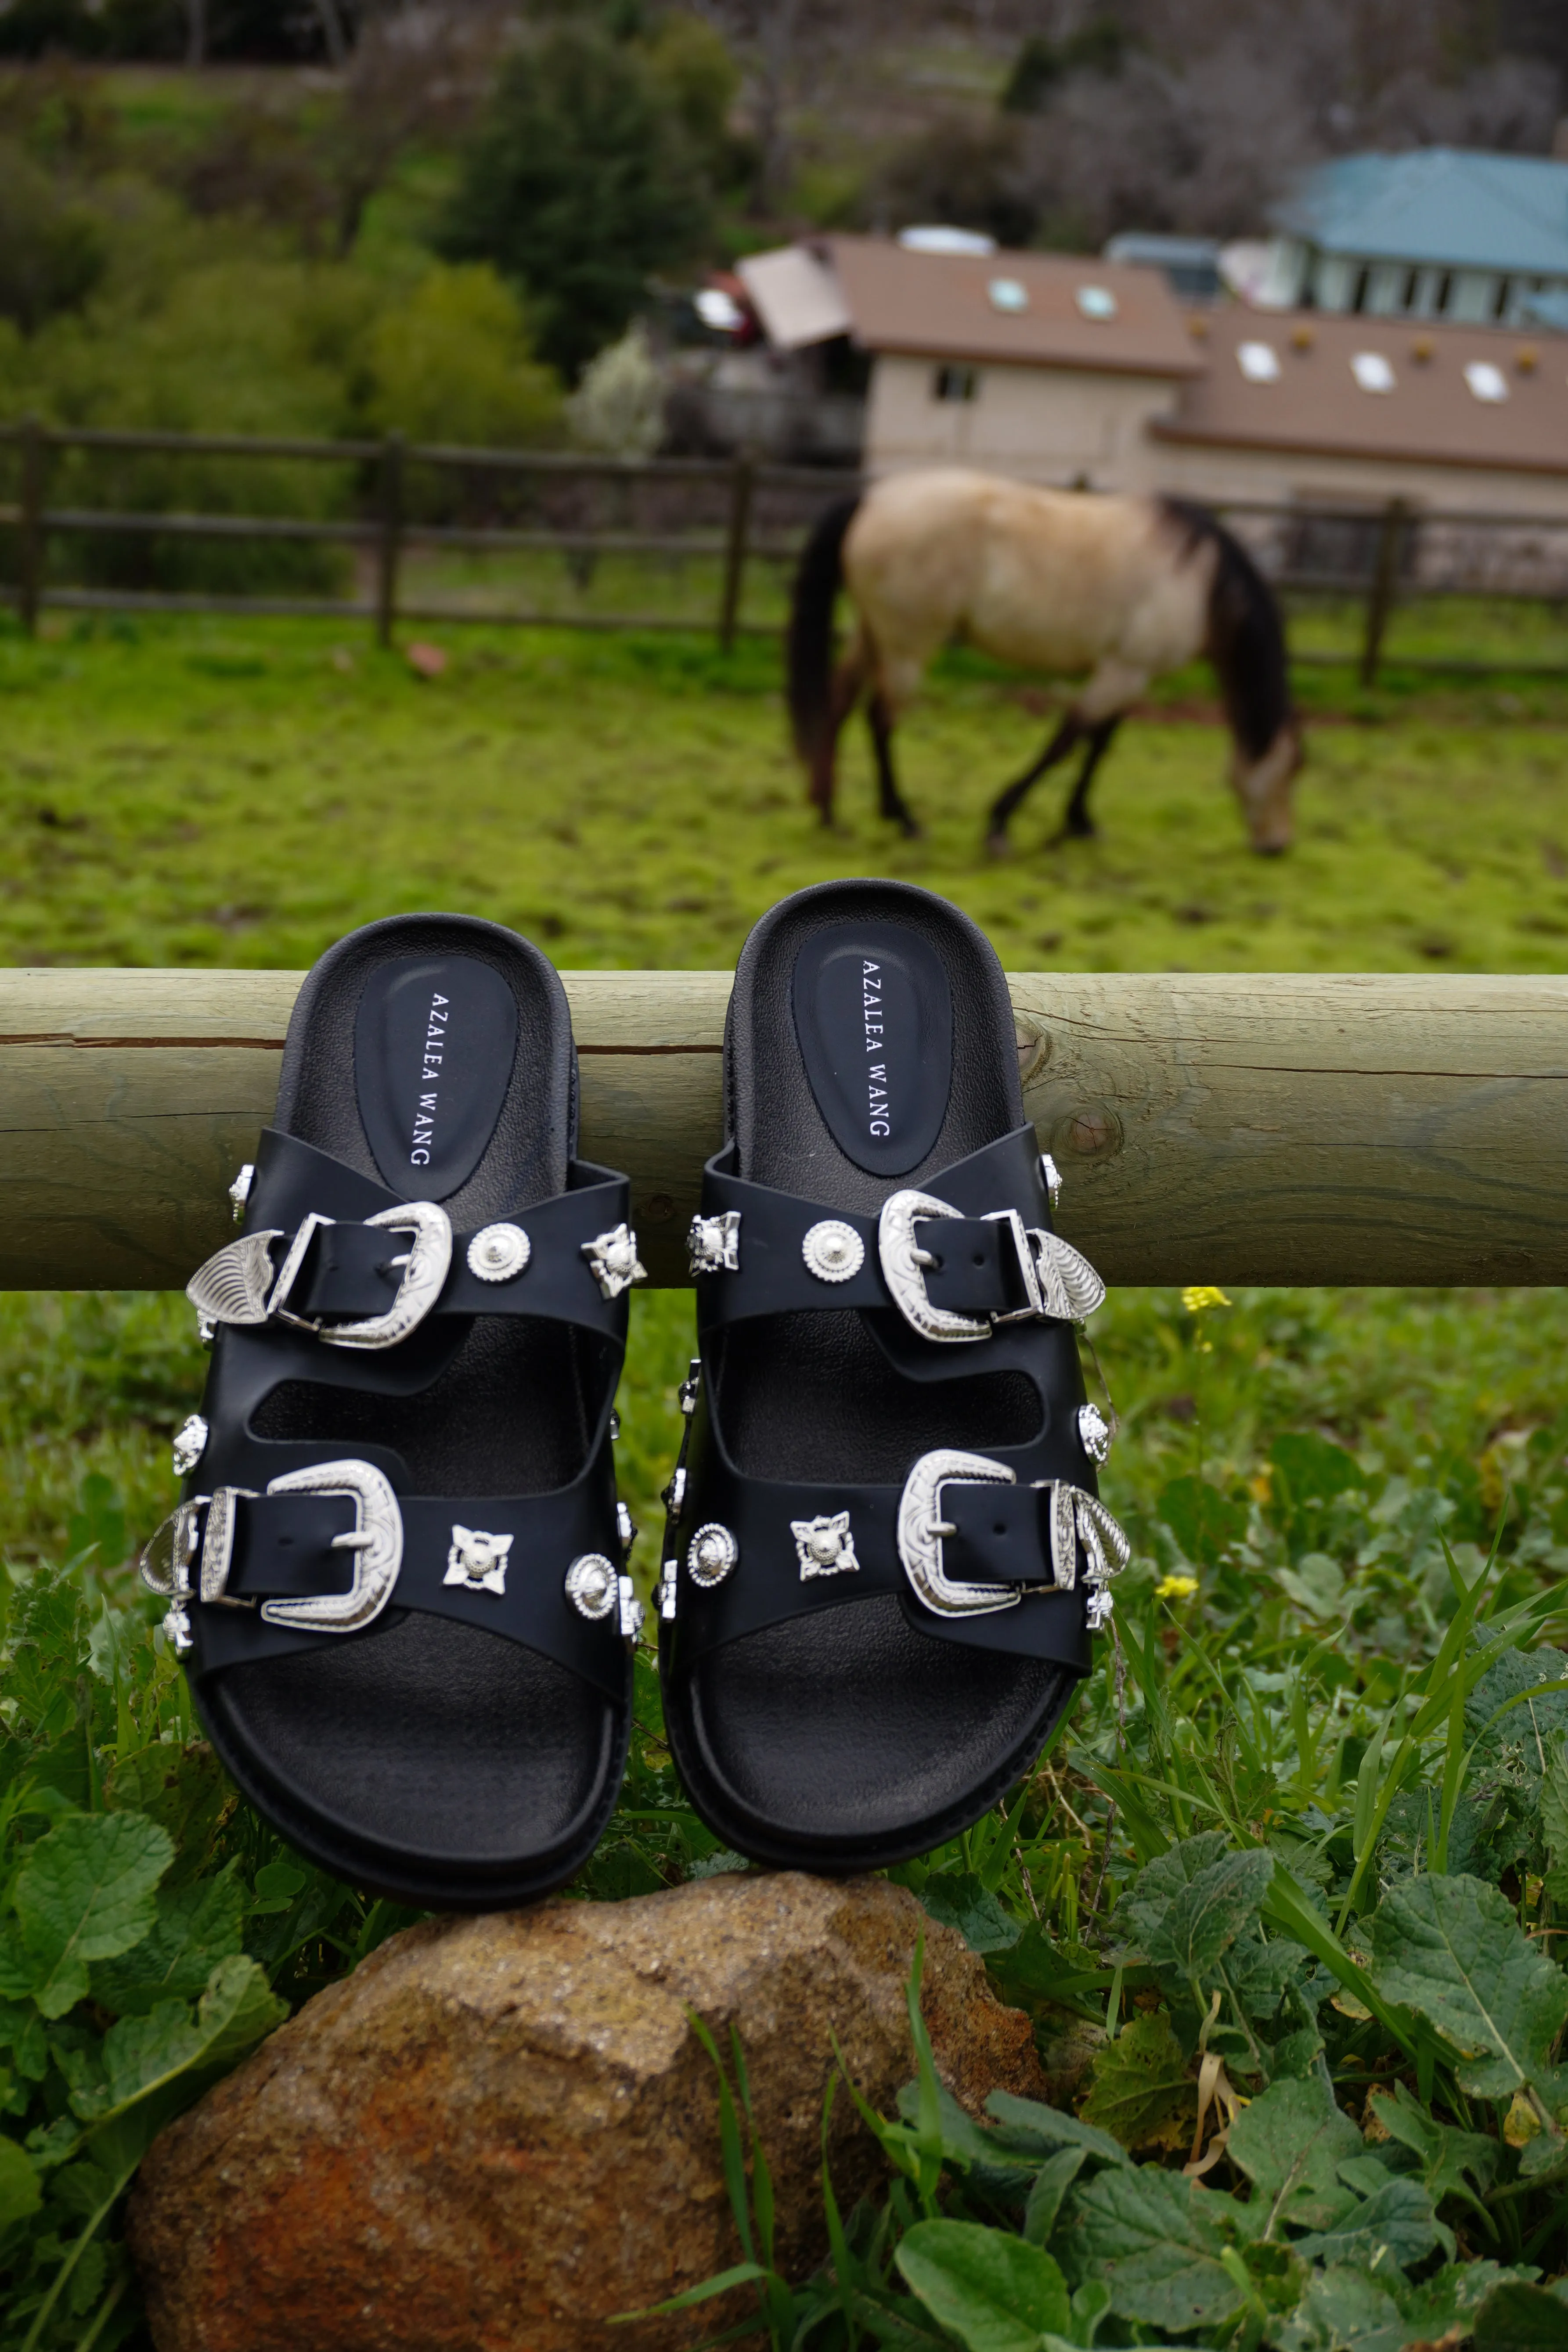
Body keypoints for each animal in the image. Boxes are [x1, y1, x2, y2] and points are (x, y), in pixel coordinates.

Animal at [789, 468, 1307, 856]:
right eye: (1293, 770)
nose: (1277, 846)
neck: (1199, 582)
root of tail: (871, 498)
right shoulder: (1124, 671)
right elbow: (1066, 740)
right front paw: (1001, 822)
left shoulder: (1129, 674)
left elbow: (1100, 742)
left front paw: (1079, 821)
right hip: (906, 647)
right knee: (880, 719)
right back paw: (902, 817)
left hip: (870, 635)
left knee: (839, 704)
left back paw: (828, 810)